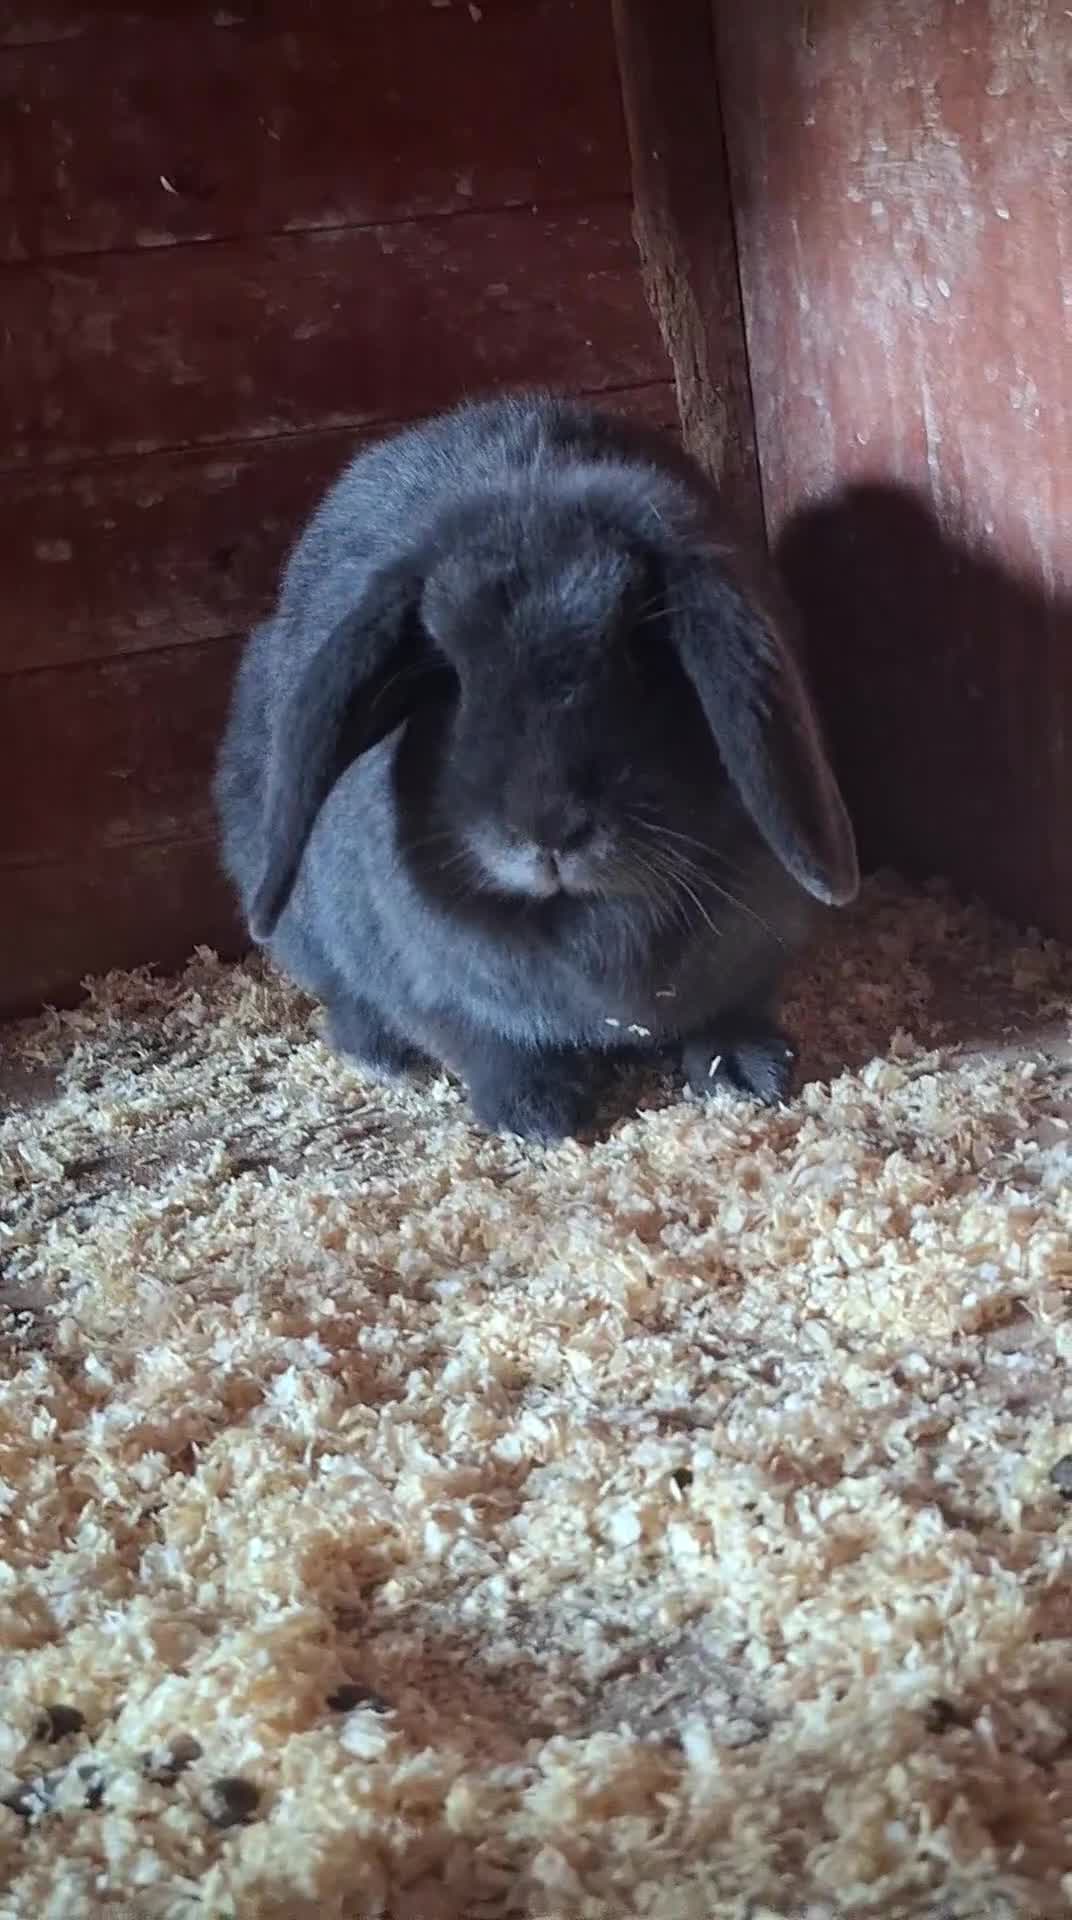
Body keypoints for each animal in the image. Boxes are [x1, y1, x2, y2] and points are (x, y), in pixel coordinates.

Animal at [214, 390, 858, 1142]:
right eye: (446, 672)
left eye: (642, 652)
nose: (548, 830)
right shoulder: (435, 991)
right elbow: (491, 1044)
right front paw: (534, 1115)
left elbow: (733, 1009)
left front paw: (747, 1072)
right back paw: (381, 1055)